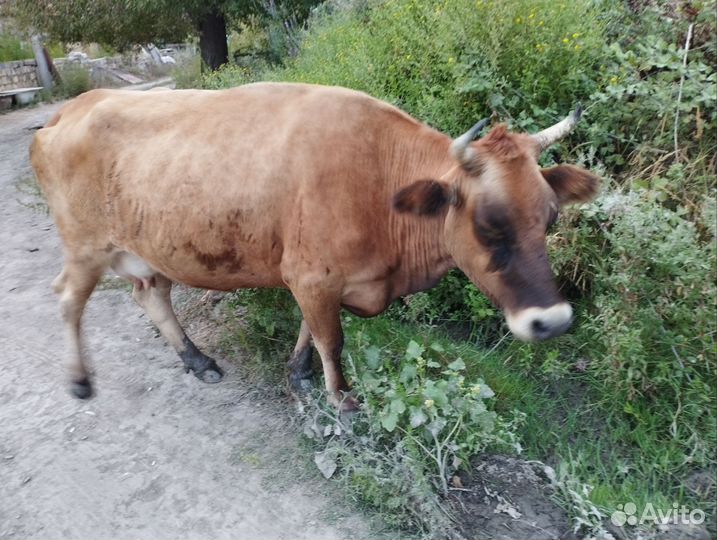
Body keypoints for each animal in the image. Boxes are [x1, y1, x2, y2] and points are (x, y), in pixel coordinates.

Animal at [30, 83, 599, 410]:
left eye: (550, 216)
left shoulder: (316, 279)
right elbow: (333, 339)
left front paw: (300, 376)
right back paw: (79, 381)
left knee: (151, 293)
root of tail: (71, 107)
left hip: (149, 245)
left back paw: (197, 360)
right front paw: (340, 398)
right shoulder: (311, 275)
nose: (552, 321)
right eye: (487, 223)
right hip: (84, 245)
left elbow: (312, 329)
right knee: (67, 298)